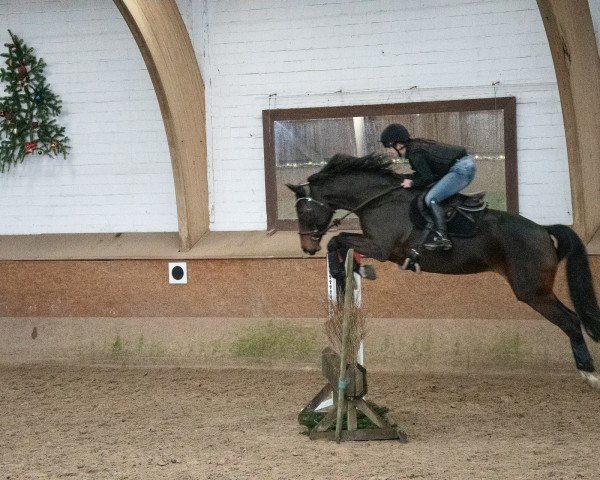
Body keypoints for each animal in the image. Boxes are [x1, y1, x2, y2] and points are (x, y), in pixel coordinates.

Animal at [286, 153, 600, 390]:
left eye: (303, 212)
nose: (306, 247)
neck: (377, 199)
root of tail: (543, 230)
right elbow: (339, 243)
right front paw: (352, 272)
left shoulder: (381, 247)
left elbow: (337, 240)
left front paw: (352, 271)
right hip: (537, 290)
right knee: (572, 319)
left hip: (532, 291)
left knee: (571, 321)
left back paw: (589, 373)